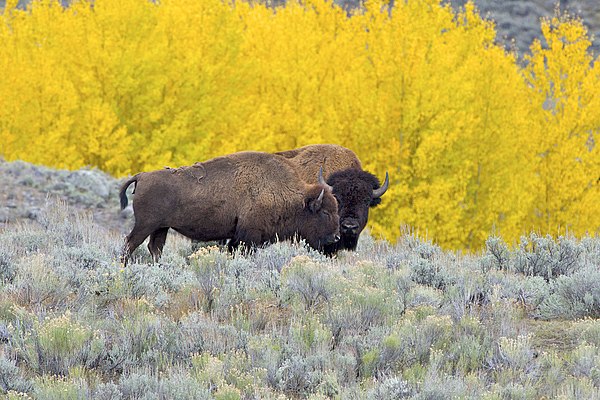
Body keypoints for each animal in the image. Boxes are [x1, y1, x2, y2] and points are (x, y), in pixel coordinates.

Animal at [119, 150, 340, 262]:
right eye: (325, 213)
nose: (336, 237)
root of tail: (142, 176)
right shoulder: (249, 237)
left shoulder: (237, 239)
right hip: (145, 225)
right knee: (129, 244)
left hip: (161, 228)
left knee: (154, 248)